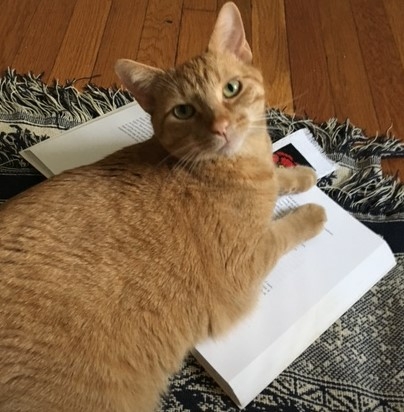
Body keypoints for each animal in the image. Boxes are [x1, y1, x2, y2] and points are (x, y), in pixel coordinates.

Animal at [0, 3, 326, 412]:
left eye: (231, 89)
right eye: (183, 111)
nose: (221, 127)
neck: (235, 166)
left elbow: (278, 180)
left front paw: (301, 173)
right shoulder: (246, 263)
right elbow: (286, 230)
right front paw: (313, 212)